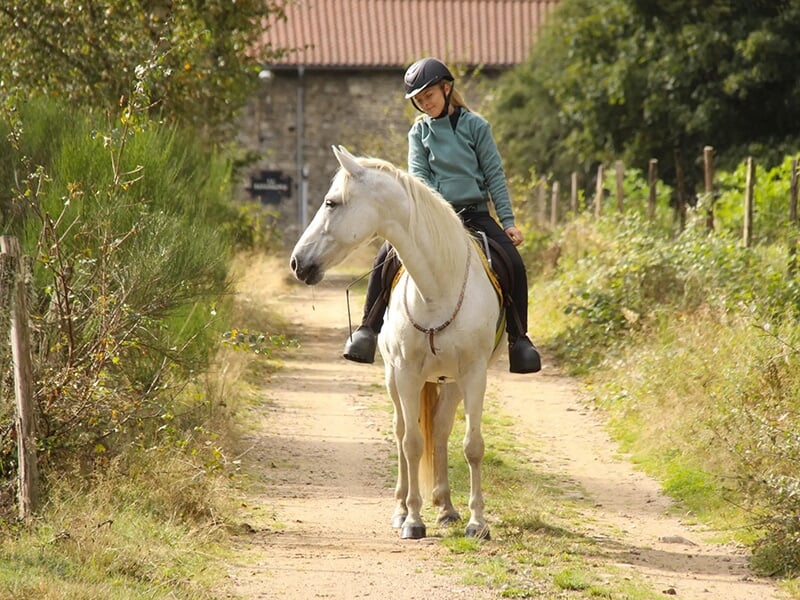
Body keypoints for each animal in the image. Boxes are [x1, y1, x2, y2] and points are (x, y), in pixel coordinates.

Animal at [290, 146, 504, 540]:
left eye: (330, 202)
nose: (297, 263)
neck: (437, 290)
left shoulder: (474, 375)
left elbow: (472, 445)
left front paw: (477, 523)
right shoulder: (405, 373)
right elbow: (411, 443)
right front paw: (413, 520)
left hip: (451, 382)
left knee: (440, 430)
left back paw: (447, 509)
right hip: (394, 377)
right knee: (404, 431)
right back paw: (402, 509)